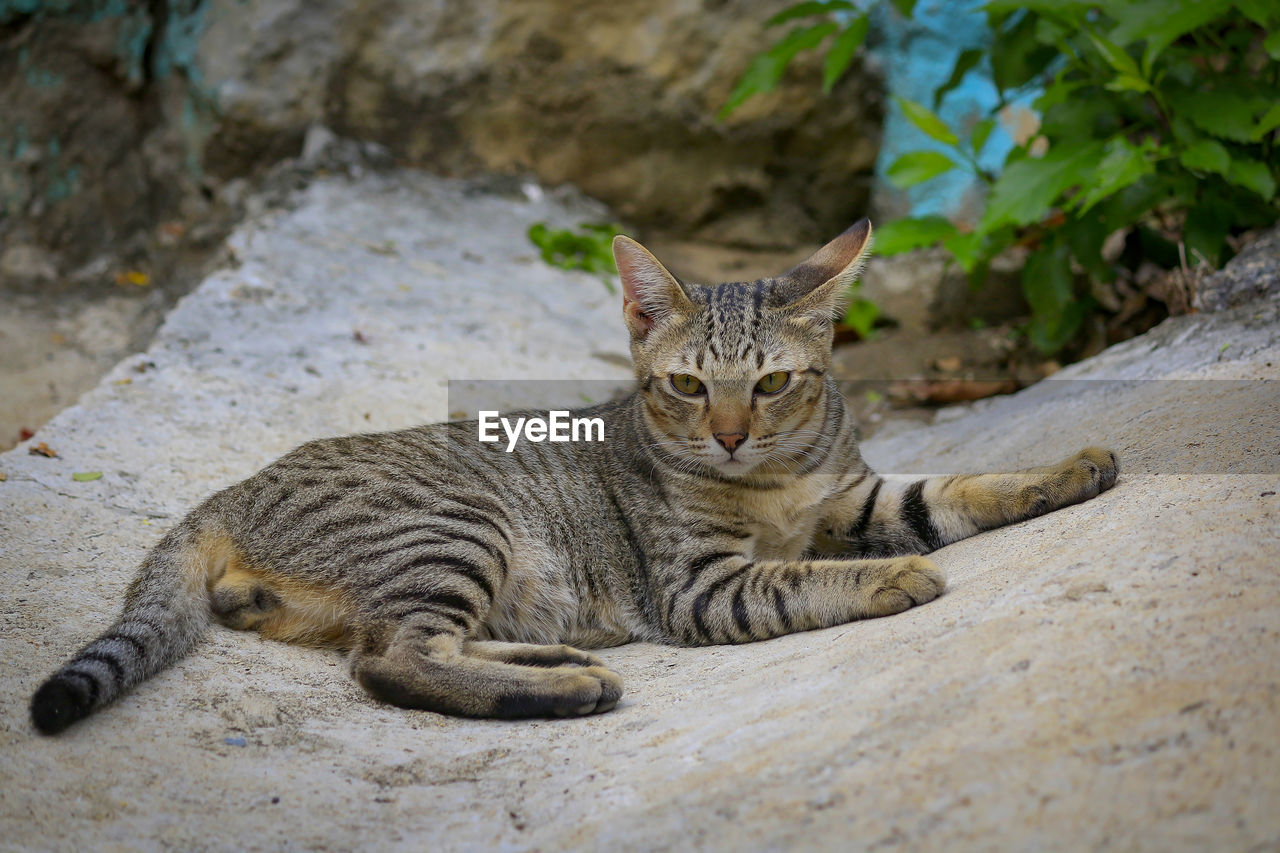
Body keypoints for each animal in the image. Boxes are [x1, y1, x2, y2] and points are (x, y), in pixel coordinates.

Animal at [27, 219, 1111, 732]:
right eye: (686, 385)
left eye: (769, 383)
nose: (726, 438)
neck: (780, 476)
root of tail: (230, 489)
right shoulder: (700, 584)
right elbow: (799, 576)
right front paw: (888, 575)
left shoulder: (851, 494)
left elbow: (954, 490)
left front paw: (1070, 465)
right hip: (458, 527)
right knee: (389, 657)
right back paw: (564, 690)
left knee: (401, 641)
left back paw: (555, 658)